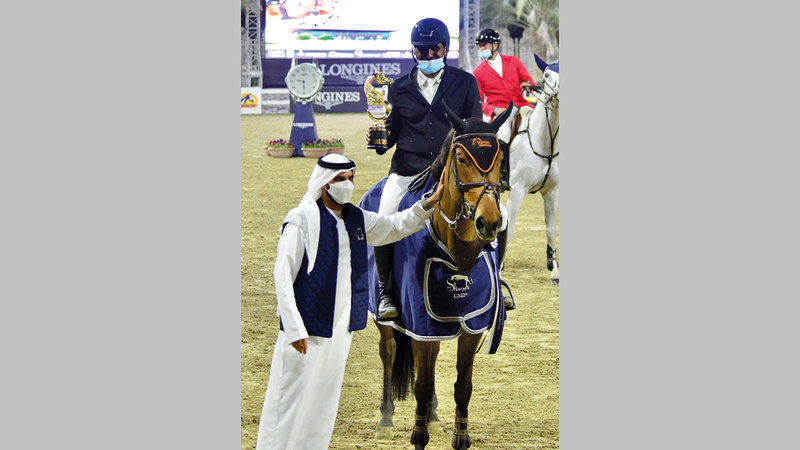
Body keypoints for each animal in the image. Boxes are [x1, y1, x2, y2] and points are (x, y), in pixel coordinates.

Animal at [360, 104, 513, 449]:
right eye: (461, 159)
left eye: (500, 159)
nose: (488, 223)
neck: (459, 253)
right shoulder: (421, 324)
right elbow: (420, 384)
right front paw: (418, 436)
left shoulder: (470, 326)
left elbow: (462, 386)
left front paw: (460, 436)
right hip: (385, 318)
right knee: (388, 353)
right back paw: (386, 420)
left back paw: (433, 416)